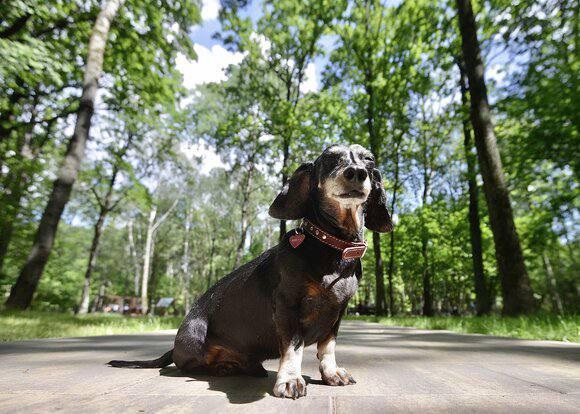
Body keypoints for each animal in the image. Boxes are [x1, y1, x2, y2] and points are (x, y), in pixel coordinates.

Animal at [107, 145, 394, 398]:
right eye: (330, 158)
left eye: (368, 159)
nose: (357, 172)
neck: (332, 248)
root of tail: (175, 346)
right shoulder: (288, 306)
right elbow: (293, 347)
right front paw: (290, 379)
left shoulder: (337, 313)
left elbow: (328, 347)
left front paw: (331, 373)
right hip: (194, 339)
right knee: (189, 365)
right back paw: (224, 366)